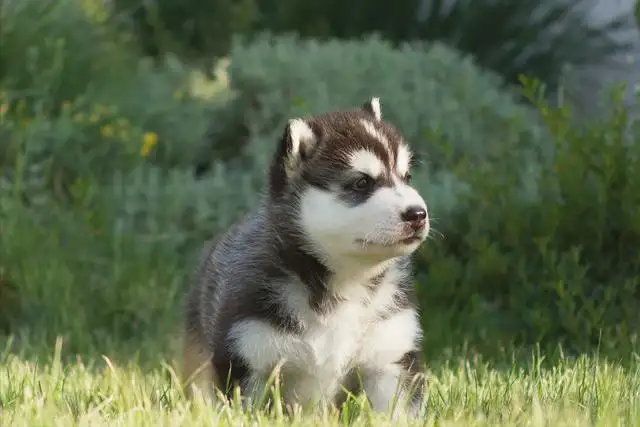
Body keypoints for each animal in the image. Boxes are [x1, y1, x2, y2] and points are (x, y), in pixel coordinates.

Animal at [181, 98, 430, 416]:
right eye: (362, 183)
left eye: (406, 177)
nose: (418, 214)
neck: (345, 283)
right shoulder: (246, 354)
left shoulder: (391, 352)